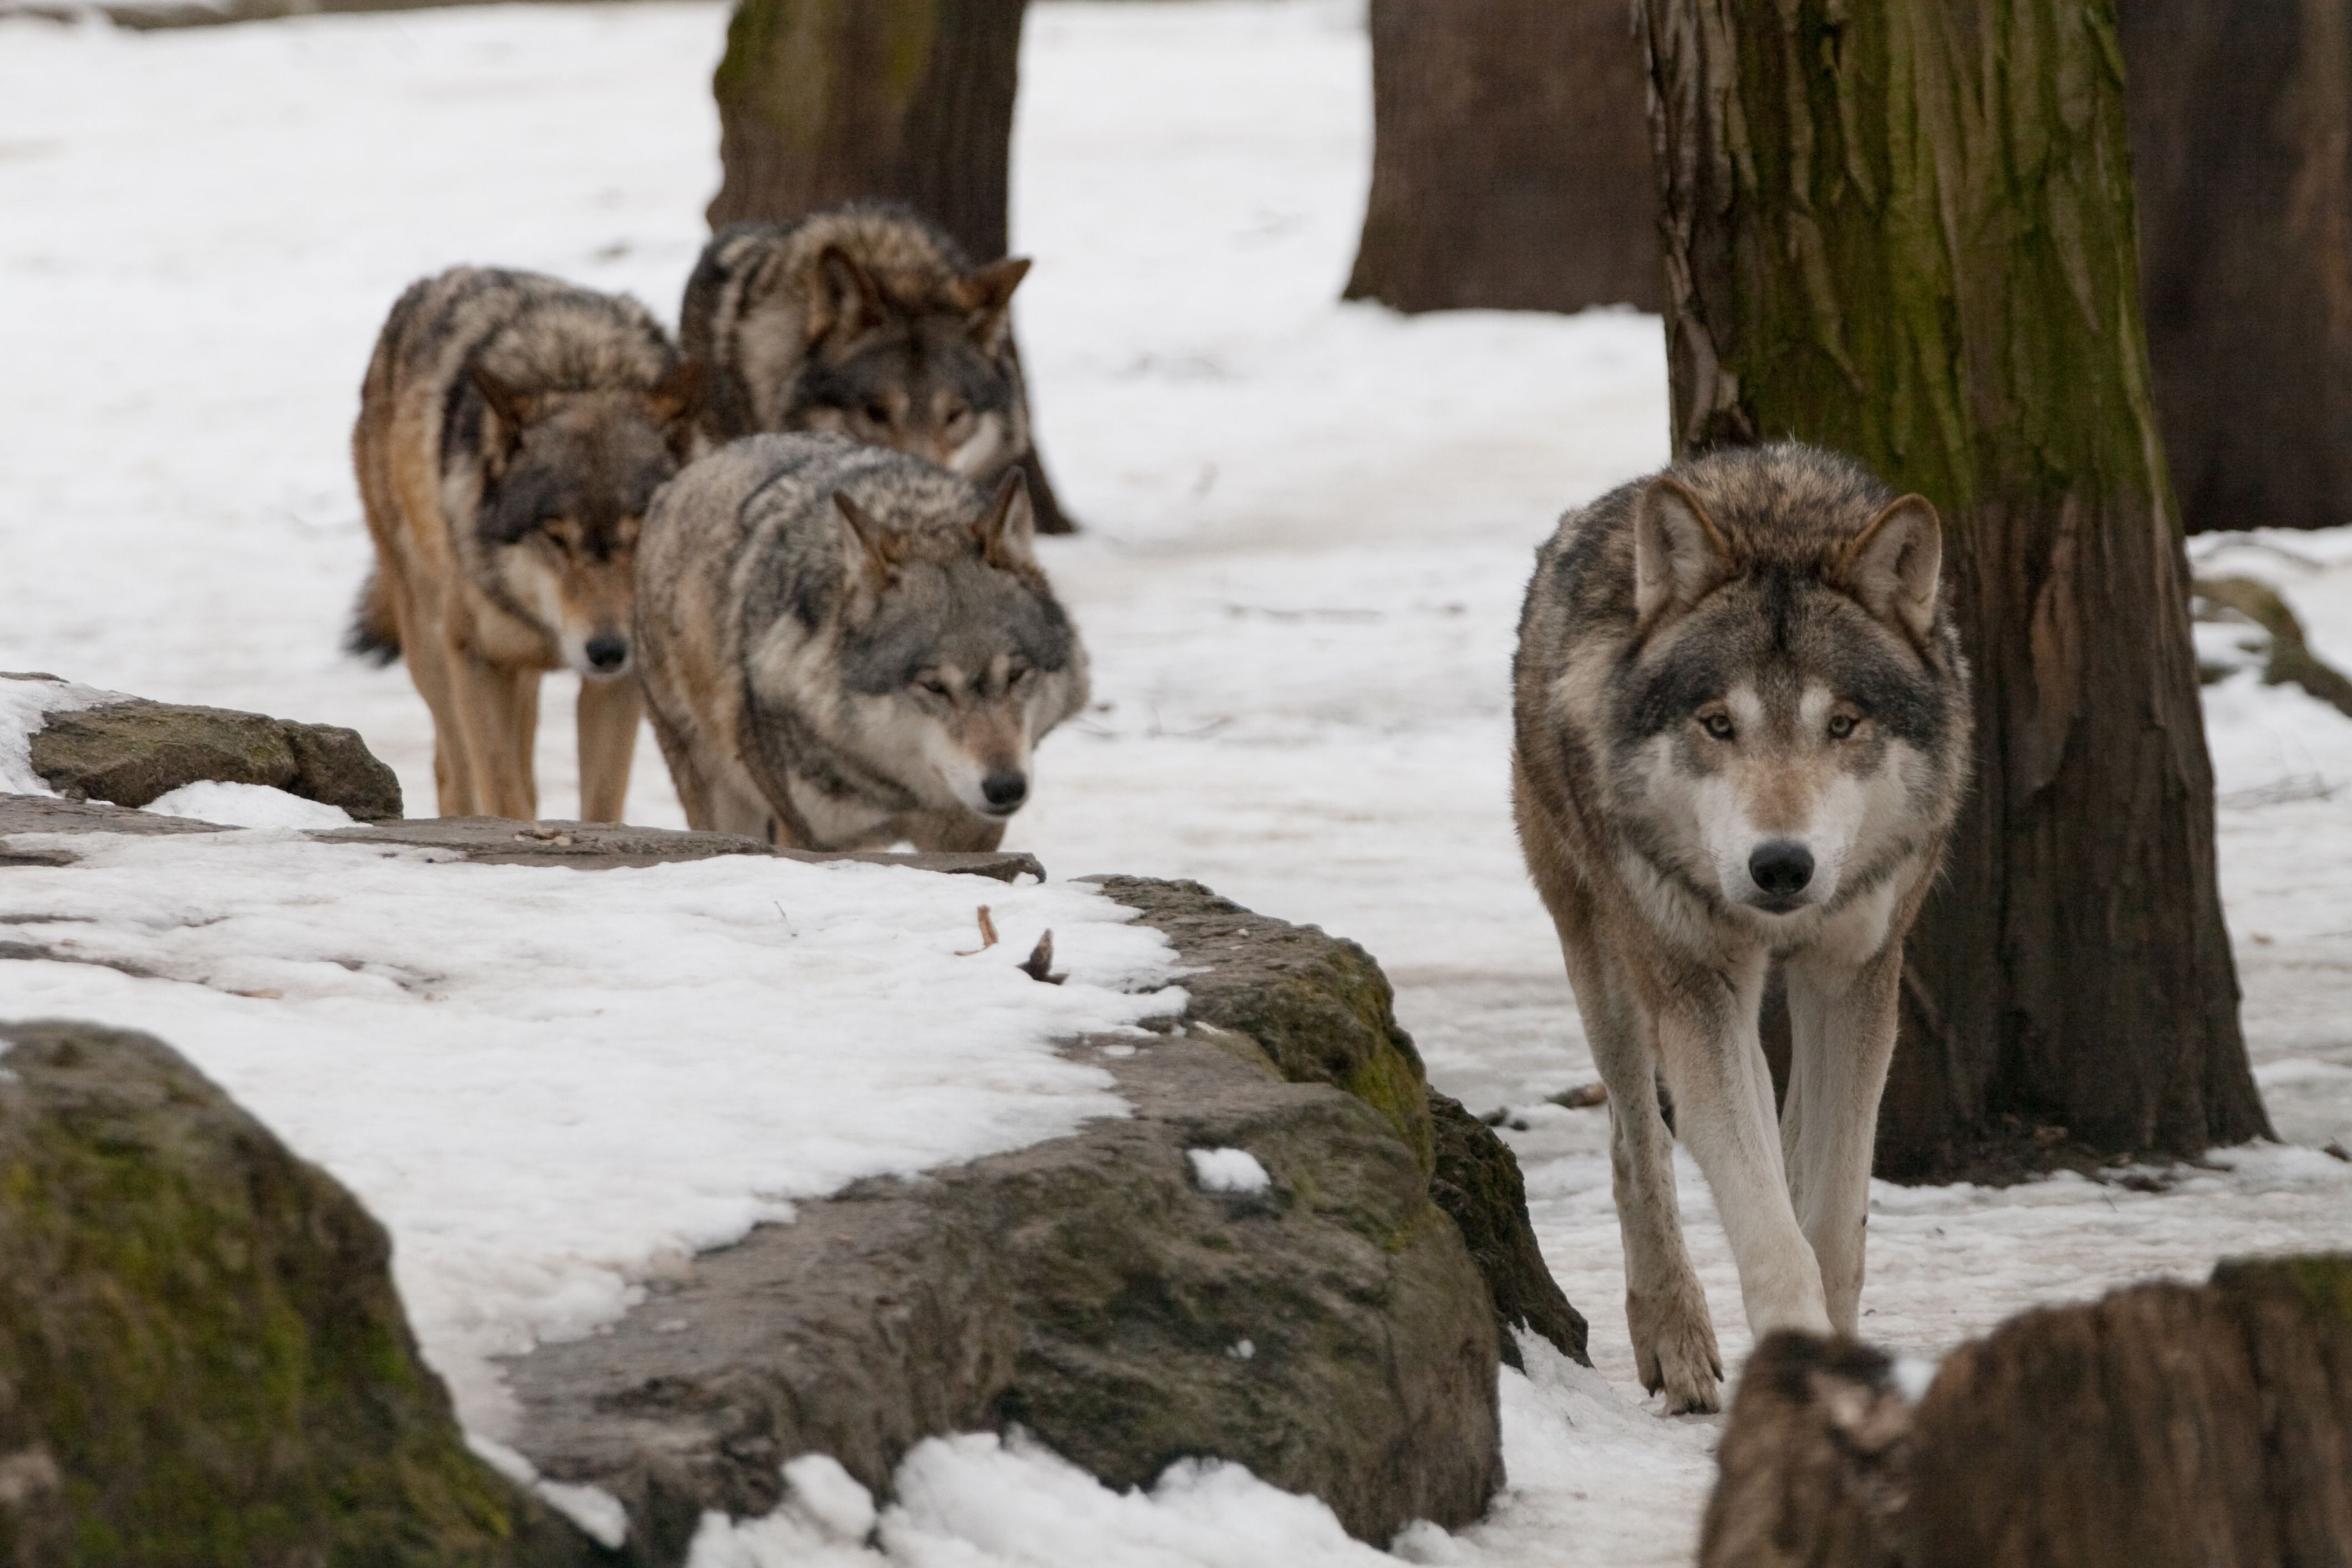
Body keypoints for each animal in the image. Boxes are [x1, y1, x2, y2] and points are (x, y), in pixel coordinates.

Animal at [349, 267, 702, 822]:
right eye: (555, 536)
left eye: (638, 529)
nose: (607, 650)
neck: (577, 371)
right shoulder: (476, 660)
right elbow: (501, 790)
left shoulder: (620, 684)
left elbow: (601, 802)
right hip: (432, 650)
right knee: (454, 770)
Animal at [633, 433, 1086, 851]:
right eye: (934, 686)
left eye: (1016, 675)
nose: (1006, 787)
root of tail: (687, 474)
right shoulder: (811, 837)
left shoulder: (971, 837)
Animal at [1512, 442, 1970, 1414]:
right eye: (1718, 724)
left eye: (1842, 724)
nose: (1780, 866)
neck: (1777, 515)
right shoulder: (1697, 988)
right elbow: (1768, 1230)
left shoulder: (1854, 979)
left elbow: (1830, 1223)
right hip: (1607, 963)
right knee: (1635, 1147)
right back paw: (1676, 1344)